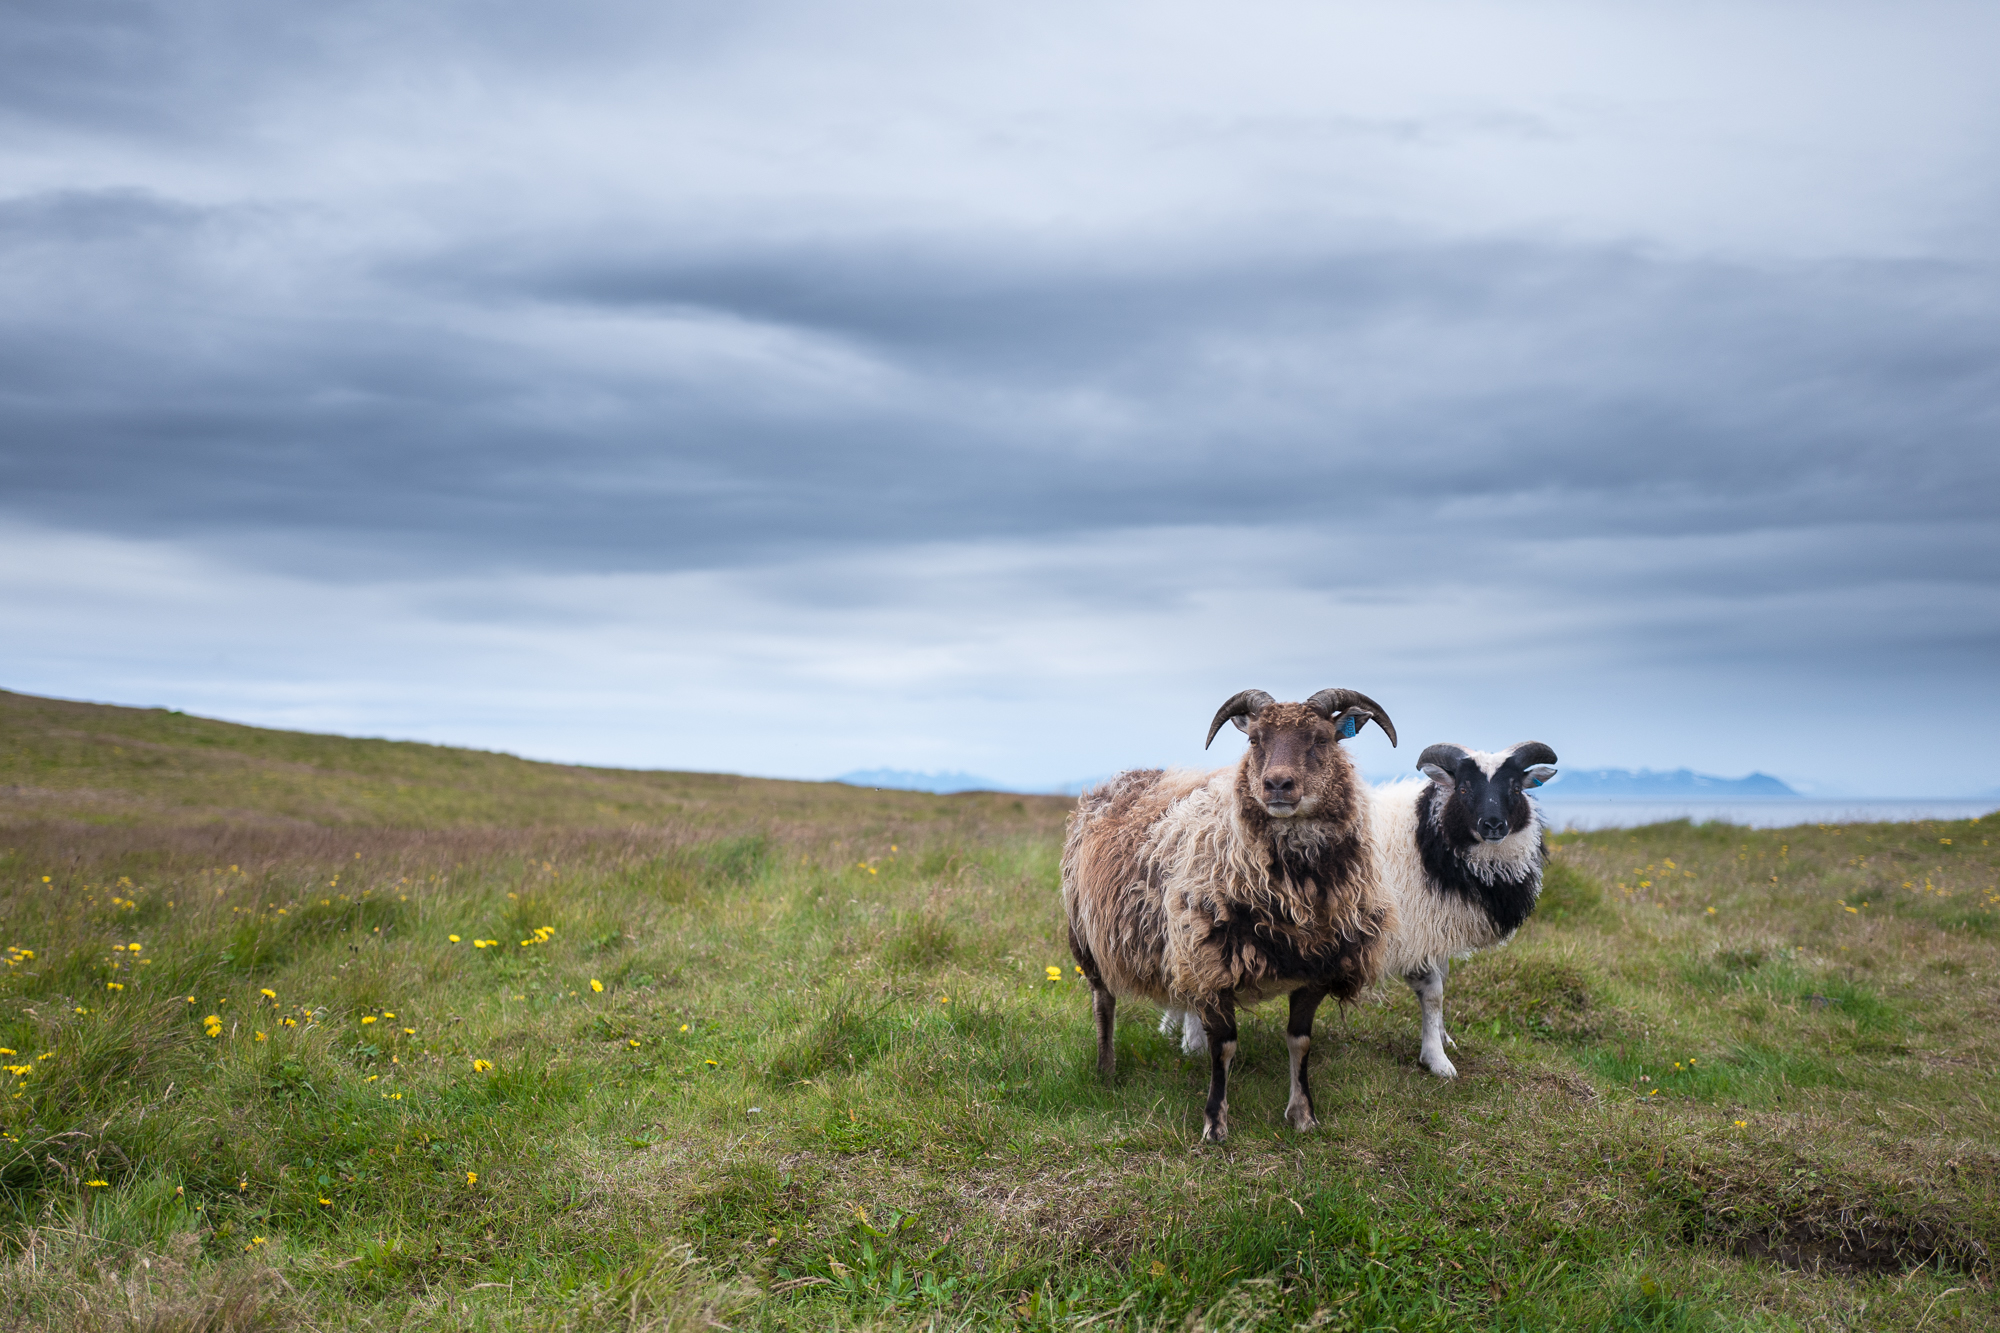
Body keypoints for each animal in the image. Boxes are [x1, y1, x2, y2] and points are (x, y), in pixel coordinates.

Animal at [1056, 688, 1400, 1136]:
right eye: (1254, 740)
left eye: (1322, 739)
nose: (1277, 784)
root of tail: (1121, 777)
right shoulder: (1212, 965)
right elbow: (1224, 1047)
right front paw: (1214, 1123)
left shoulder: (1317, 967)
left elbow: (1300, 1042)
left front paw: (1303, 1115)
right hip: (1086, 934)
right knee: (1103, 1002)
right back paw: (1106, 1070)